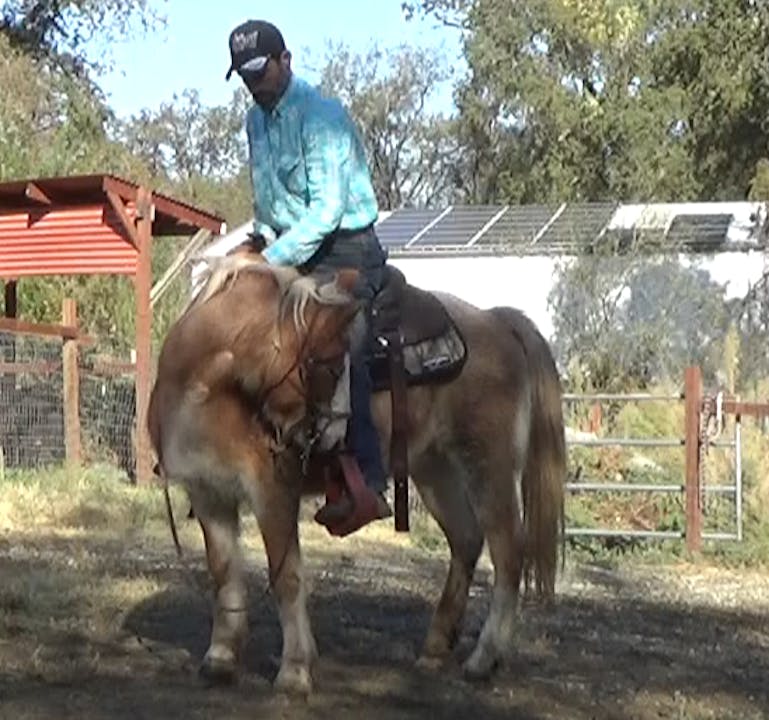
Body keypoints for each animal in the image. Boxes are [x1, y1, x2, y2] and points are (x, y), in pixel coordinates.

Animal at [147, 249, 566, 696]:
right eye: (329, 363)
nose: (319, 440)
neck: (210, 391)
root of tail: (496, 319)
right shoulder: (208, 494)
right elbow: (223, 574)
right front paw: (221, 659)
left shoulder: (273, 491)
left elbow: (286, 578)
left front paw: (295, 670)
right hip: (434, 469)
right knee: (467, 539)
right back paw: (435, 649)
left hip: (489, 467)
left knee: (508, 553)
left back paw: (484, 658)